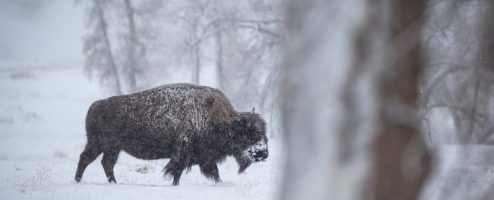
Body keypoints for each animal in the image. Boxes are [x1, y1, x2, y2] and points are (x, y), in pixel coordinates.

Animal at [74, 83, 268, 185]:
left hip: (113, 148)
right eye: (253, 133)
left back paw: (112, 182)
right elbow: (177, 171)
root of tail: (95, 105)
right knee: (86, 159)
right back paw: (78, 180)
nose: (264, 153)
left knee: (106, 163)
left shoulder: (204, 157)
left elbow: (213, 172)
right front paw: (175, 185)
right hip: (99, 144)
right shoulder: (183, 153)